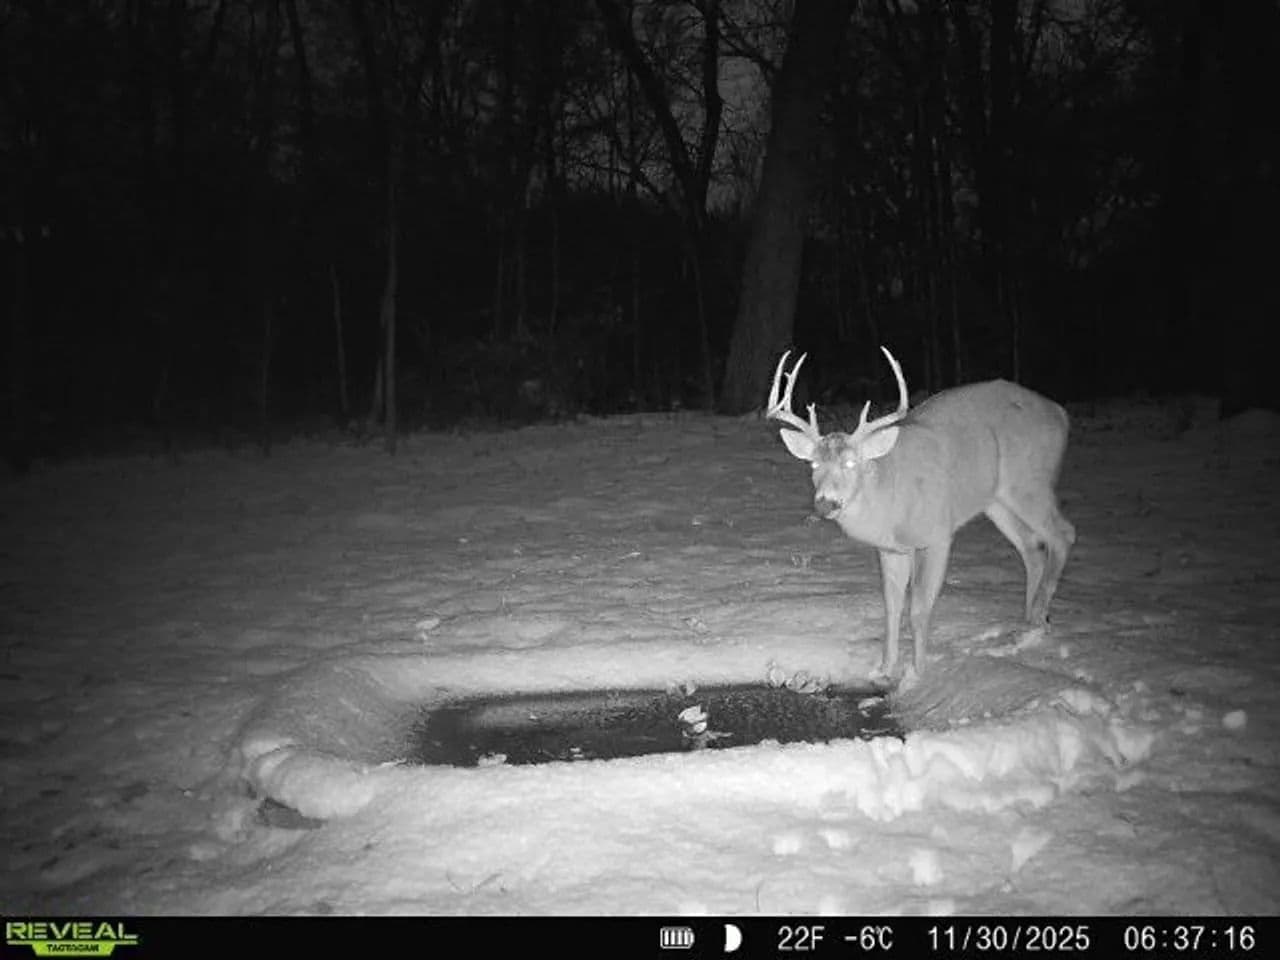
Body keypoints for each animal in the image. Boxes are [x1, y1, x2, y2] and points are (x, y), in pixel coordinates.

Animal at [766, 346, 1076, 685]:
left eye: (850, 463)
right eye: (813, 464)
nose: (825, 503)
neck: (890, 499)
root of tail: (1061, 414)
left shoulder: (936, 535)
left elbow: (918, 609)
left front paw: (918, 675)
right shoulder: (891, 549)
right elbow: (891, 608)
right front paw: (884, 670)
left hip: (1028, 481)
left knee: (1063, 533)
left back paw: (1040, 618)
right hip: (996, 500)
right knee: (1033, 548)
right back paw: (1027, 625)